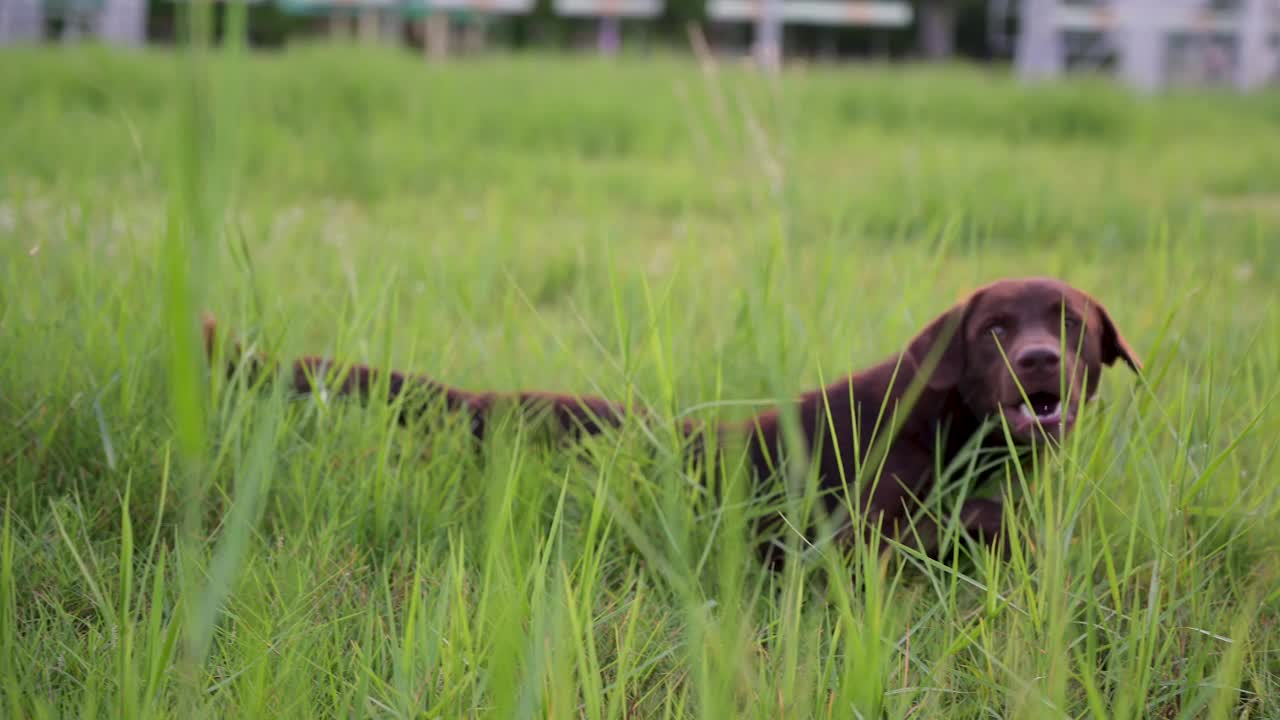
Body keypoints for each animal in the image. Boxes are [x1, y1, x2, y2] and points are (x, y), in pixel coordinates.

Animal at [199, 274, 1141, 561]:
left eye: (1067, 324)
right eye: (994, 330)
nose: (1038, 362)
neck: (952, 435)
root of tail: (488, 403)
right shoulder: (858, 538)